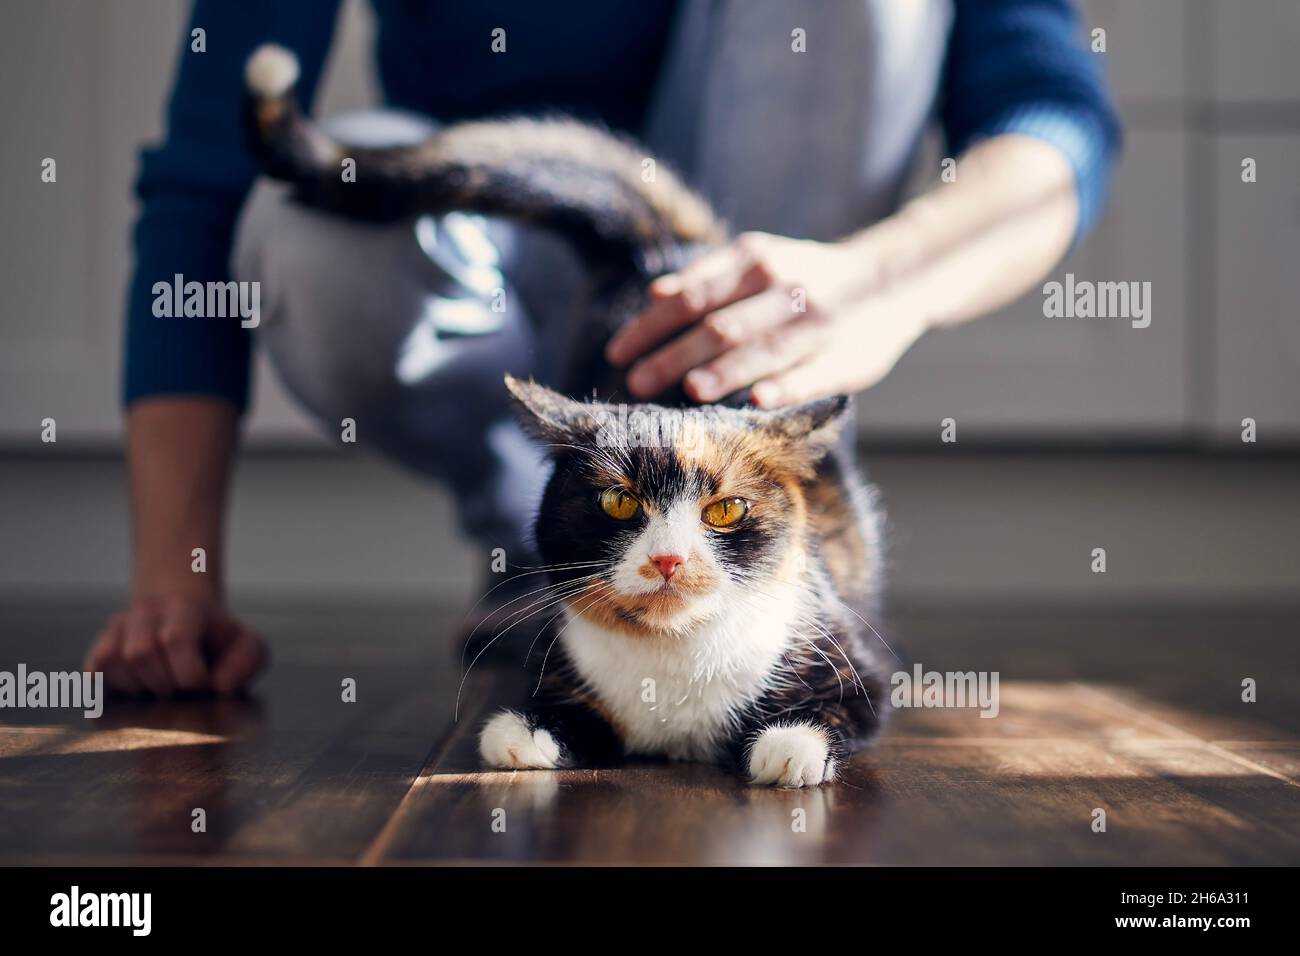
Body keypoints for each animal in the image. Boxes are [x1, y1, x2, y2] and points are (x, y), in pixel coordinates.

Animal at [241, 44, 894, 790]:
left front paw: (789, 745)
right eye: (618, 502)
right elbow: (559, 711)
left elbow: (846, 705)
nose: (668, 559)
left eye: (726, 510)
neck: (672, 668)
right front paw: (524, 733)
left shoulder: (855, 659)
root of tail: (670, 261)